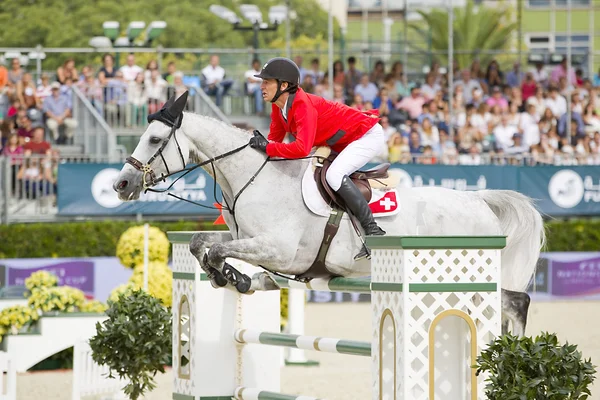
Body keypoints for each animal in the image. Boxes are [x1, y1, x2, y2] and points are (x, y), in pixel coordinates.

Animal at [113, 92, 548, 336]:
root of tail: (480, 202)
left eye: (154, 138)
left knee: (516, 302)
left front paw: (228, 274)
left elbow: (219, 251)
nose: (121, 184)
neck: (256, 177)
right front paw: (232, 278)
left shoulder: (280, 250)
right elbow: (203, 243)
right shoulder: (247, 238)